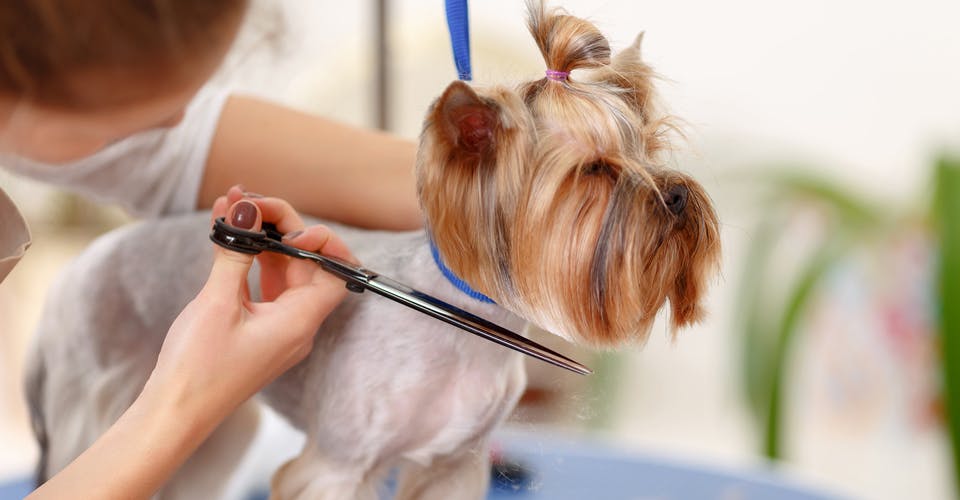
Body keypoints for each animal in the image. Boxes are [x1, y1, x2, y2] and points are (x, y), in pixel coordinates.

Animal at [24, 1, 720, 498]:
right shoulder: (333, 467)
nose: (678, 195)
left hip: (210, 431)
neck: (466, 326)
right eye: (596, 171)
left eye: (651, 147)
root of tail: (73, 275)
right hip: (102, 409)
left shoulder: (451, 467)